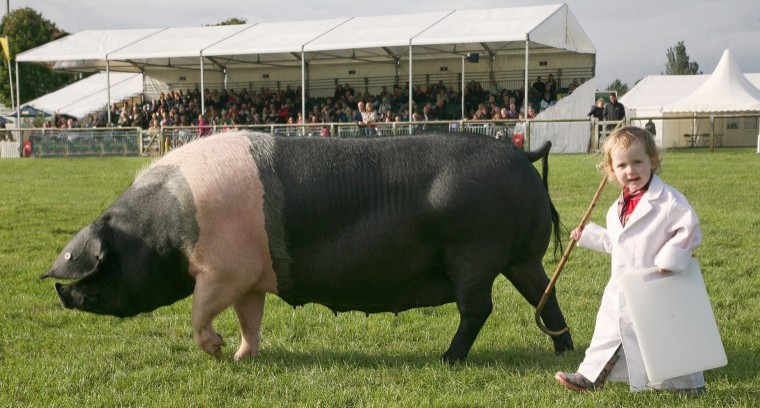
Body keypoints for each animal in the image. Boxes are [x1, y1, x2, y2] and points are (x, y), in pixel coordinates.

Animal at [44, 130, 572, 360]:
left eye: (100, 262)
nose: (59, 291)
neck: (166, 228)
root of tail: (524, 154)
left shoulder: (221, 270)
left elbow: (200, 311)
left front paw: (216, 351)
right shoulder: (250, 276)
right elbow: (250, 318)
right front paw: (243, 357)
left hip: (474, 253)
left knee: (478, 308)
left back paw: (446, 360)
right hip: (520, 258)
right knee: (544, 296)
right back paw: (563, 353)